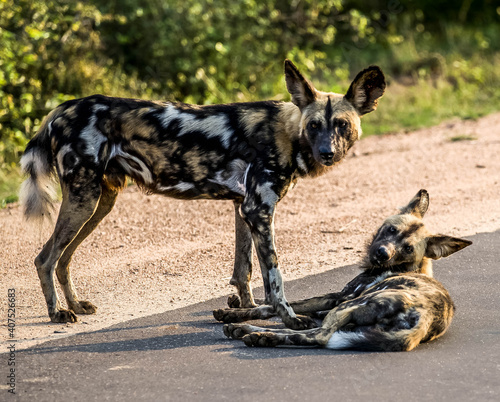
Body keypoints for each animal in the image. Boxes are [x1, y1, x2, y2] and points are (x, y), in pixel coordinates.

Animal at [19, 60, 384, 330]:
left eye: (342, 125)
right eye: (314, 126)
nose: (327, 153)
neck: (288, 134)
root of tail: (61, 110)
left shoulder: (243, 209)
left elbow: (244, 272)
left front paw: (248, 311)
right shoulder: (259, 211)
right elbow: (274, 277)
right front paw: (288, 318)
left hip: (99, 203)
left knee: (63, 258)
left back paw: (75, 304)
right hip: (84, 200)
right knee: (45, 258)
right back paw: (57, 313)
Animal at [223, 190, 472, 350]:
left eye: (408, 248)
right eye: (392, 229)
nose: (382, 253)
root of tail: (425, 317)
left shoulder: (339, 298)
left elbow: (277, 306)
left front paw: (234, 314)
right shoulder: (331, 304)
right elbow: (277, 304)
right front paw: (238, 306)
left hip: (348, 306)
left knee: (318, 336)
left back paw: (252, 333)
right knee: (307, 333)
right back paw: (253, 334)